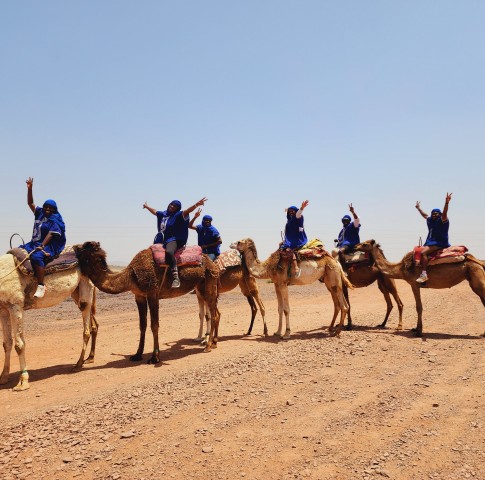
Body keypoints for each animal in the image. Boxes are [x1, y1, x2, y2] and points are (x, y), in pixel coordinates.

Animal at [0, 251, 96, 390]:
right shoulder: (3, 309)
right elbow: (7, 343)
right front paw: (3, 377)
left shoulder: (15, 305)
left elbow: (19, 345)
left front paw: (23, 381)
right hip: (76, 292)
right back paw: (87, 359)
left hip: (86, 287)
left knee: (86, 327)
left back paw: (78, 364)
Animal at [73, 240, 219, 360]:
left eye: (84, 247)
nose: (75, 247)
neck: (131, 275)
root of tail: (212, 264)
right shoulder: (139, 296)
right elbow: (142, 325)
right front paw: (137, 355)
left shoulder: (152, 293)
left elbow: (154, 325)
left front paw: (155, 357)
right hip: (201, 287)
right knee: (216, 314)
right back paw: (214, 343)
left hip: (208, 284)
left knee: (213, 314)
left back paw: (208, 346)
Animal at [352, 240, 484, 338]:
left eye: (365, 244)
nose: (355, 246)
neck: (401, 268)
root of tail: (477, 261)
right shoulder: (415, 285)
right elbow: (418, 306)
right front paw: (415, 328)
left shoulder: (414, 284)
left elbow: (418, 307)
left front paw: (419, 332)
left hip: (477, 279)